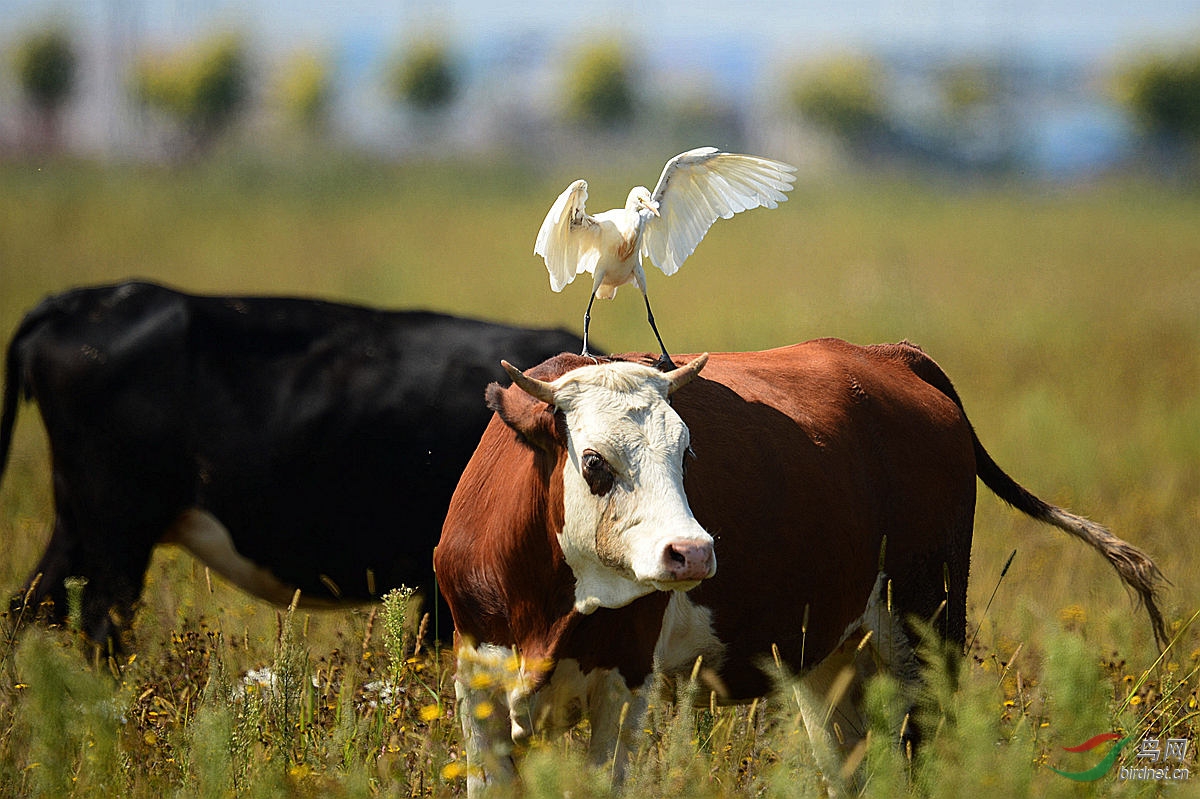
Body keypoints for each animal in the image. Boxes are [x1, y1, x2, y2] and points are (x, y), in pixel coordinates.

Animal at [436, 338, 1166, 791]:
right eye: (594, 462)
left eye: (687, 451)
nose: (693, 551)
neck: (543, 607)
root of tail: (887, 355)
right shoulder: (477, 677)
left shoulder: (624, 683)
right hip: (831, 658)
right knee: (851, 765)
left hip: (926, 626)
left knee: (925, 751)